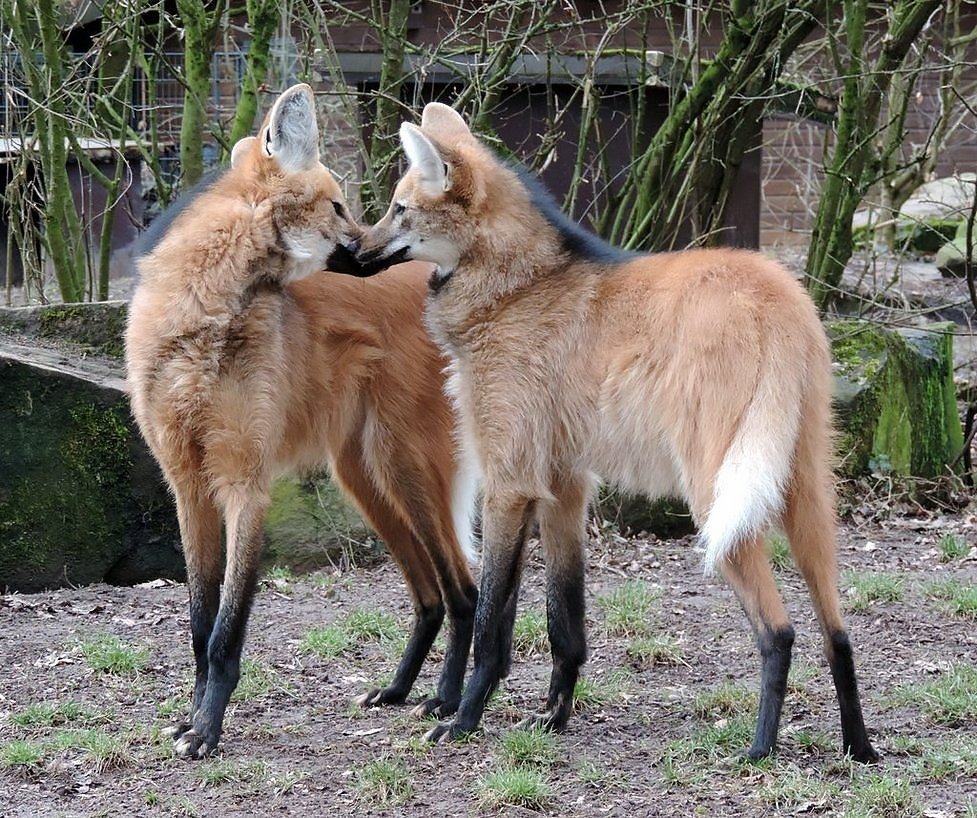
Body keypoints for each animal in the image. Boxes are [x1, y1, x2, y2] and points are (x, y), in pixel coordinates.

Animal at [125, 85, 478, 758]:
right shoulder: (188, 485)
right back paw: (396, 691)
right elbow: (199, 624)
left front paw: (206, 731)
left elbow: (225, 631)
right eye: (338, 206)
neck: (205, 314)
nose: (372, 247)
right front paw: (192, 719)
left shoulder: (245, 484)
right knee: (428, 595)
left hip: (403, 467)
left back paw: (446, 702)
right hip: (363, 477)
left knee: (463, 591)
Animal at [355, 102, 878, 763]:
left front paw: (462, 718)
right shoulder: (561, 484)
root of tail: (780, 295)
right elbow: (563, 621)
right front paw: (551, 717)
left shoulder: (509, 484)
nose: (355, 246)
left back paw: (758, 751)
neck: (511, 286)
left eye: (398, 209)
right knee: (838, 631)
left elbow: (490, 622)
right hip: (803, 490)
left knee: (779, 630)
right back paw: (859, 749)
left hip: (715, 492)